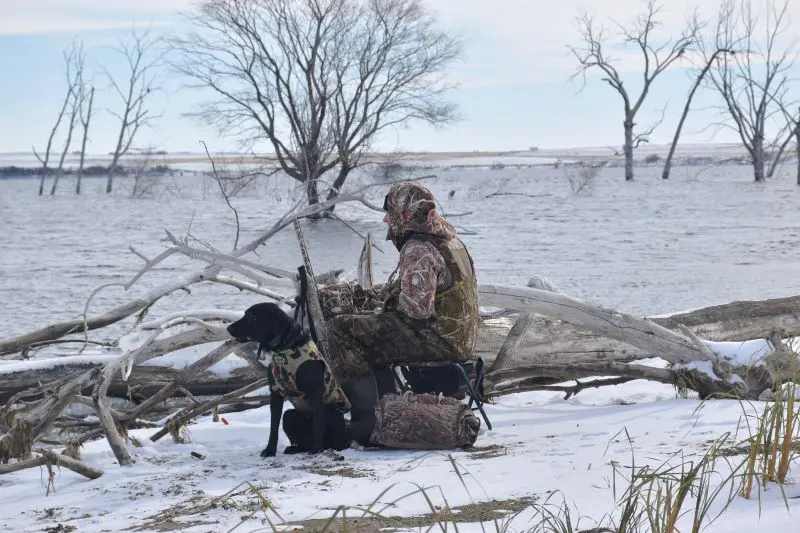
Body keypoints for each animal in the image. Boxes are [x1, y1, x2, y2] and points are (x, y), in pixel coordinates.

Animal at [227, 302, 348, 456]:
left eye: (251, 317)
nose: (228, 328)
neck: (285, 347)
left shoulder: (315, 392)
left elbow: (318, 425)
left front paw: (316, 449)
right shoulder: (275, 392)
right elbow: (273, 426)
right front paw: (269, 450)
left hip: (331, 413)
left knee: (333, 439)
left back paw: (324, 447)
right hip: (289, 416)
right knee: (301, 439)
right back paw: (295, 448)